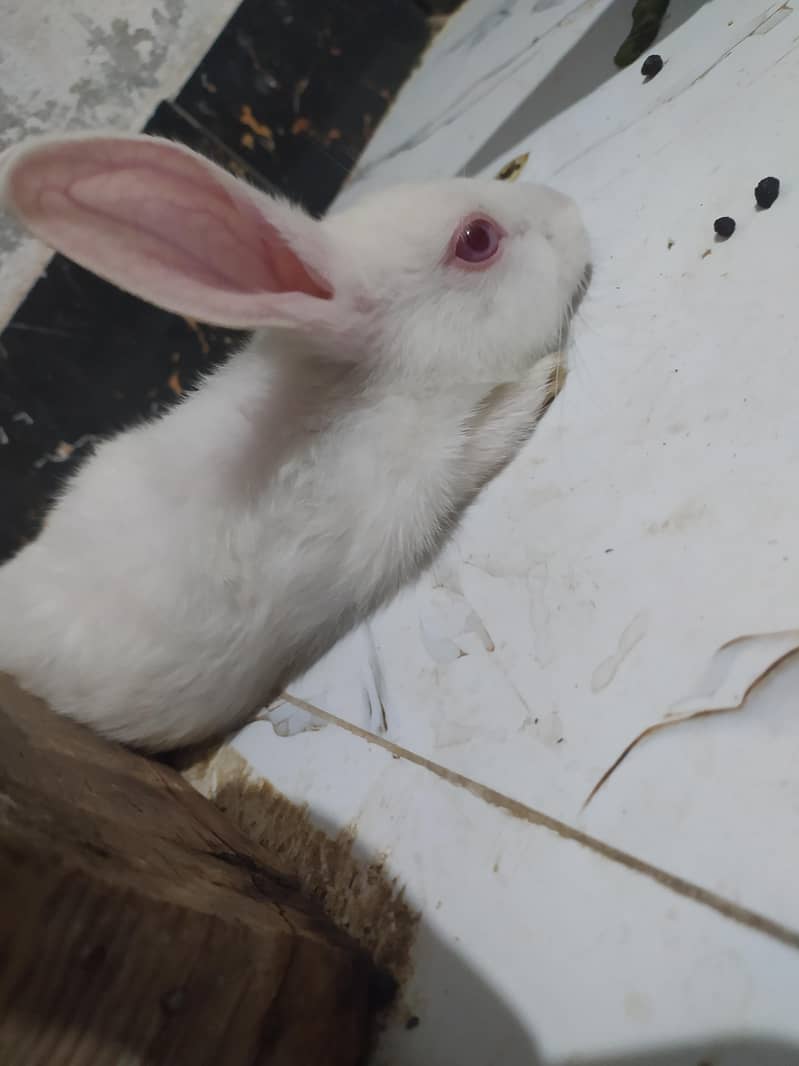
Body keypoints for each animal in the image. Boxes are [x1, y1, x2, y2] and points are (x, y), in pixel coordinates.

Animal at [0, 132, 590, 752]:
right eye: (476, 239)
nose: (569, 210)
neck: (355, 389)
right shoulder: (416, 488)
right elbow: (485, 436)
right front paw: (544, 379)